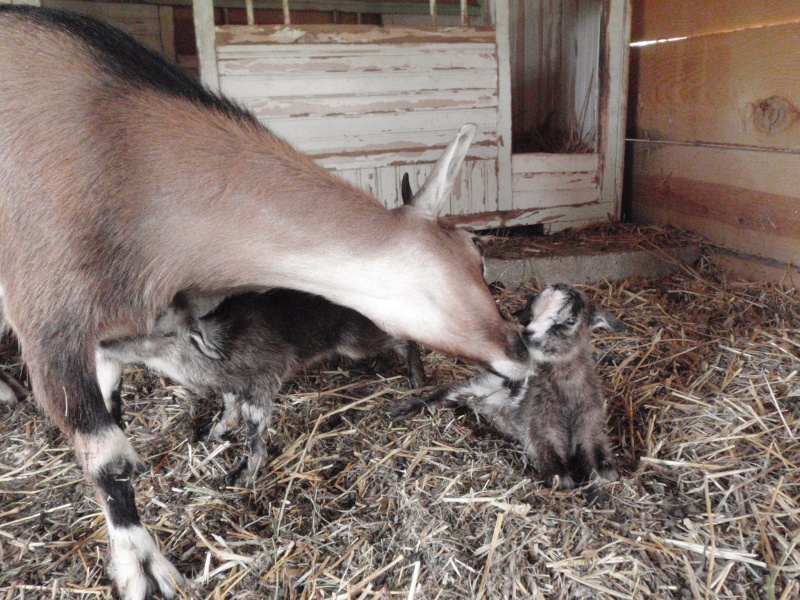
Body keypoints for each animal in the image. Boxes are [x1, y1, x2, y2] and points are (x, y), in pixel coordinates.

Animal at [98, 290, 424, 482]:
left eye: (163, 331)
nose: (104, 343)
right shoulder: (231, 387)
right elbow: (229, 413)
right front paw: (207, 435)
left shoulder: (266, 378)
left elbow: (253, 422)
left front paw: (246, 471)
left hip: (355, 342)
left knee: (404, 339)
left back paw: (416, 382)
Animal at [416, 284, 628, 488]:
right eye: (532, 315)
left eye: (570, 320)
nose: (527, 334)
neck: (565, 397)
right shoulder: (539, 425)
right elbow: (553, 461)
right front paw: (558, 476)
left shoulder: (591, 422)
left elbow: (599, 456)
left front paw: (605, 473)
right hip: (480, 389)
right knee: (450, 389)